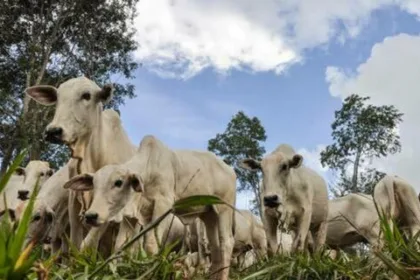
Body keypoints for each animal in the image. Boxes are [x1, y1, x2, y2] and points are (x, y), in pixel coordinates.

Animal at [25, 77, 136, 256]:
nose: (53, 131)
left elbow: (88, 244)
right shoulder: (73, 201)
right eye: (57, 97)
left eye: (86, 95)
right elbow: (74, 244)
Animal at [64, 136, 238, 280]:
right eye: (94, 184)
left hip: (224, 209)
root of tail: (230, 169)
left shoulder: (164, 205)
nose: (91, 216)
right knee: (215, 247)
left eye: (118, 182)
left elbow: (150, 245)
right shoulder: (131, 216)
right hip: (209, 215)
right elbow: (121, 246)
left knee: (227, 242)